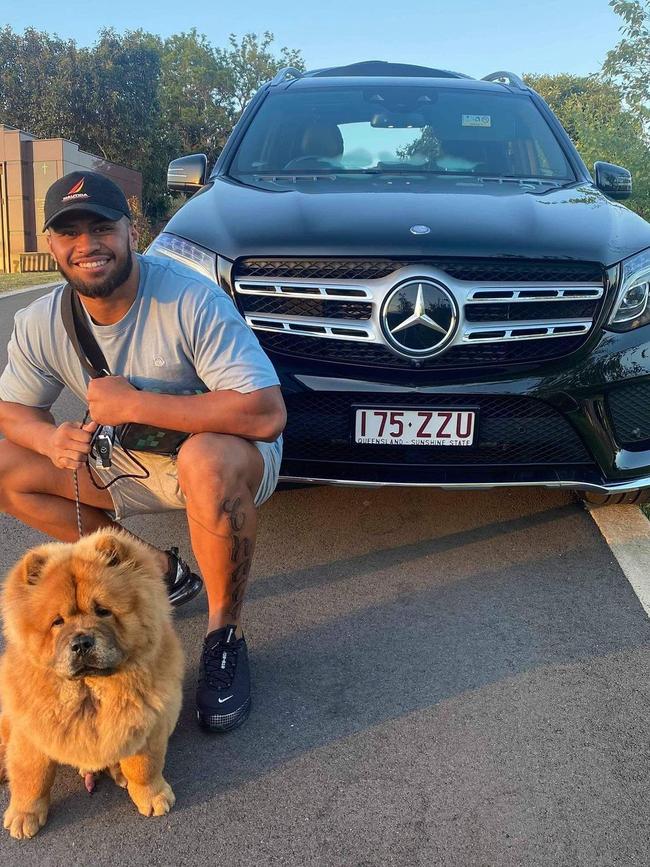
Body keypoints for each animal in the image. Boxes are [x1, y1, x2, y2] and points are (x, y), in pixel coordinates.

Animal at [0, 528, 185, 840]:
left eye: (103, 611)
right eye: (58, 622)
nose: (81, 642)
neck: (89, 693)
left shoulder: (149, 726)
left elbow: (144, 767)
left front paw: (153, 797)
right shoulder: (31, 735)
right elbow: (31, 778)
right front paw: (24, 817)